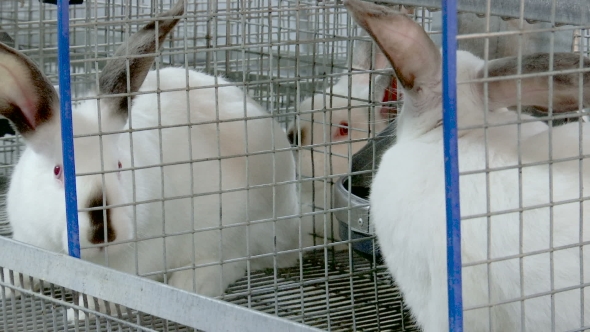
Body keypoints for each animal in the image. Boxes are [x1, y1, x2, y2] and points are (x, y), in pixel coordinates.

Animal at [1, 0, 300, 306]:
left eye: (120, 166)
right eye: (58, 171)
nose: (103, 232)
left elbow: (105, 292)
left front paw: (82, 311)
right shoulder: (29, 239)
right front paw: (10, 286)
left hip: (241, 226)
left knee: (233, 261)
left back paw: (189, 283)